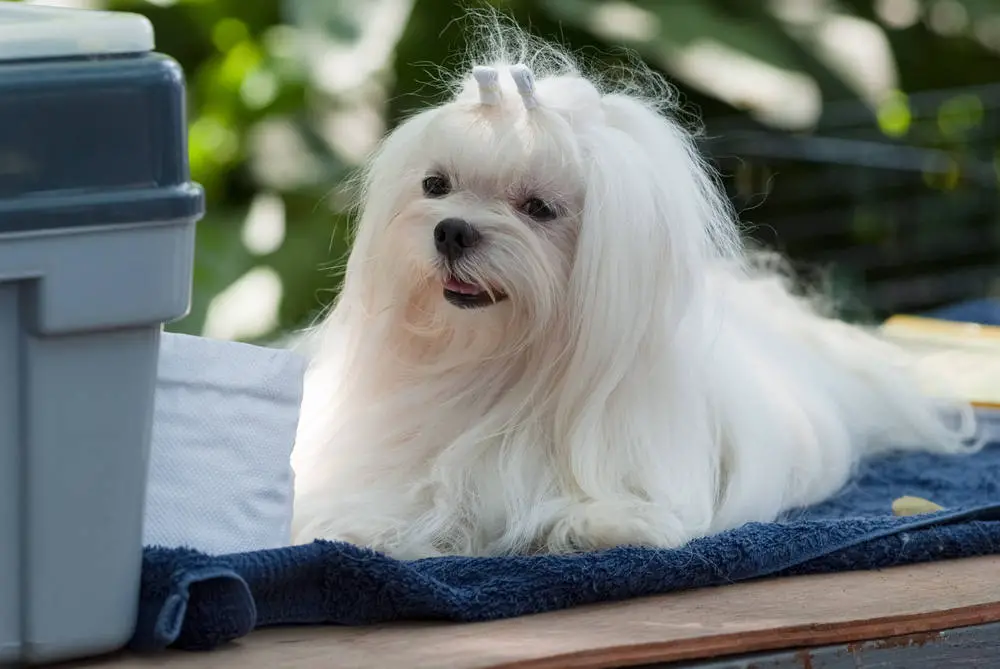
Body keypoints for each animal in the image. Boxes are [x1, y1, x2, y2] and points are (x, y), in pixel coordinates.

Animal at [288, 24, 976, 560]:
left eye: (540, 208)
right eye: (436, 184)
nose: (452, 229)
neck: (494, 373)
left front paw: (603, 523)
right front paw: (366, 527)